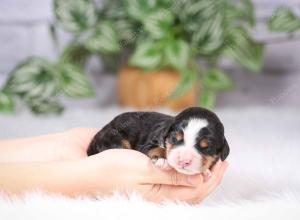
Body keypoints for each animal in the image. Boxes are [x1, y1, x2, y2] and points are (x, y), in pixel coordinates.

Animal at [87, 106, 230, 175]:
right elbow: (155, 148)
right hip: (113, 137)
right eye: (174, 138)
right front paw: (162, 160)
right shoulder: (148, 142)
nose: (184, 160)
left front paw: (206, 170)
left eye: (206, 146)